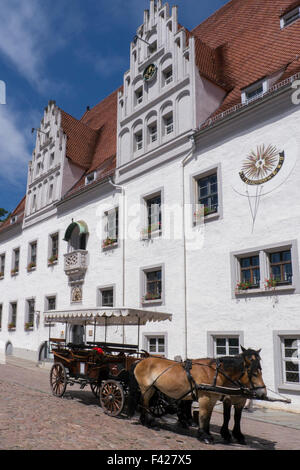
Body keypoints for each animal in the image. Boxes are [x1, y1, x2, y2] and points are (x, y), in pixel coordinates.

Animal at [127, 346, 266, 442]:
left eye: (261, 369)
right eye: (253, 372)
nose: (263, 392)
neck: (214, 373)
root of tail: (140, 361)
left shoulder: (214, 399)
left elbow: (210, 416)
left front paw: (209, 433)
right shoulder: (206, 398)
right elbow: (204, 416)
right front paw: (204, 435)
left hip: (152, 388)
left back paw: (146, 420)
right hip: (146, 388)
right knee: (144, 402)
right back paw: (148, 422)